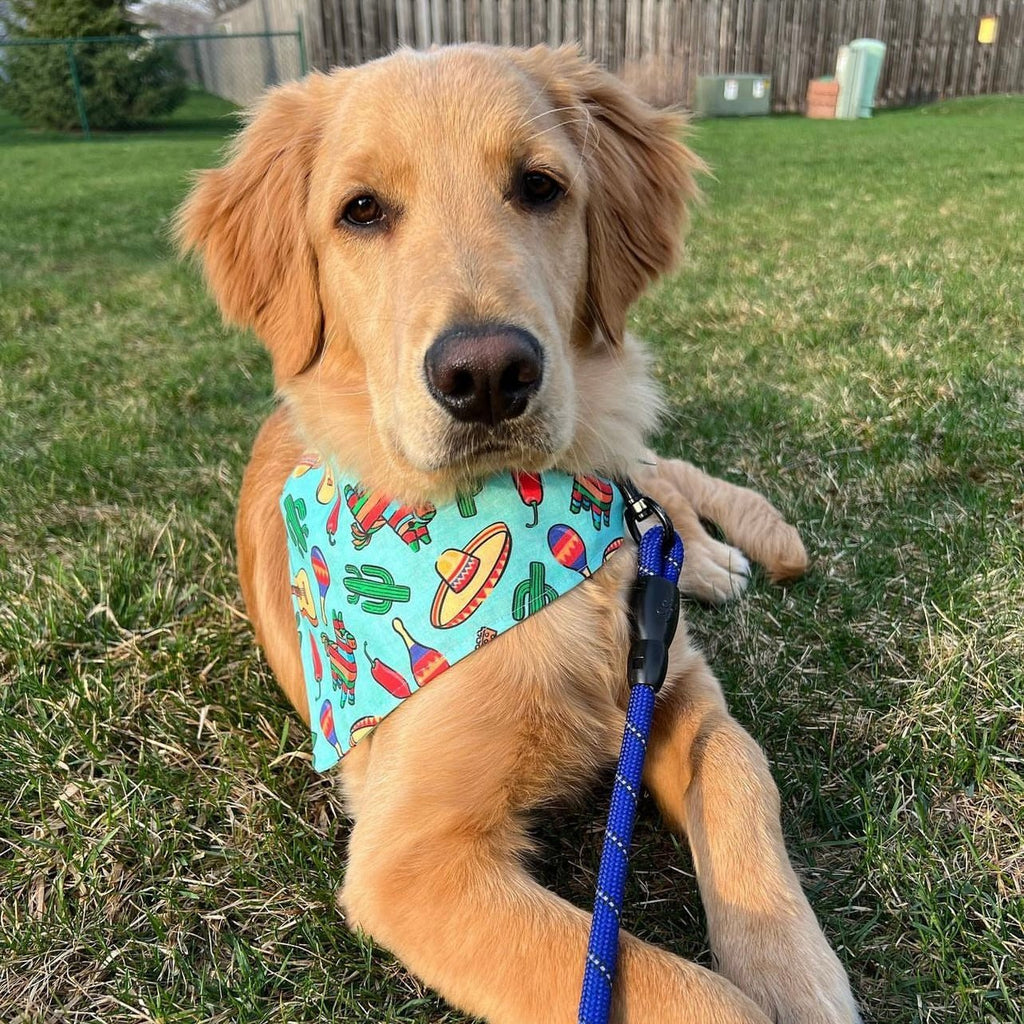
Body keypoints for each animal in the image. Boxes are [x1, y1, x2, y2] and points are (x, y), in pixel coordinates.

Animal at [180, 41, 860, 1024]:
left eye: (539, 187)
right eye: (360, 210)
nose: (488, 375)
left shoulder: (679, 689)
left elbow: (742, 779)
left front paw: (801, 983)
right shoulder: (412, 859)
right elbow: (692, 994)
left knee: (666, 478)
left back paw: (721, 556)